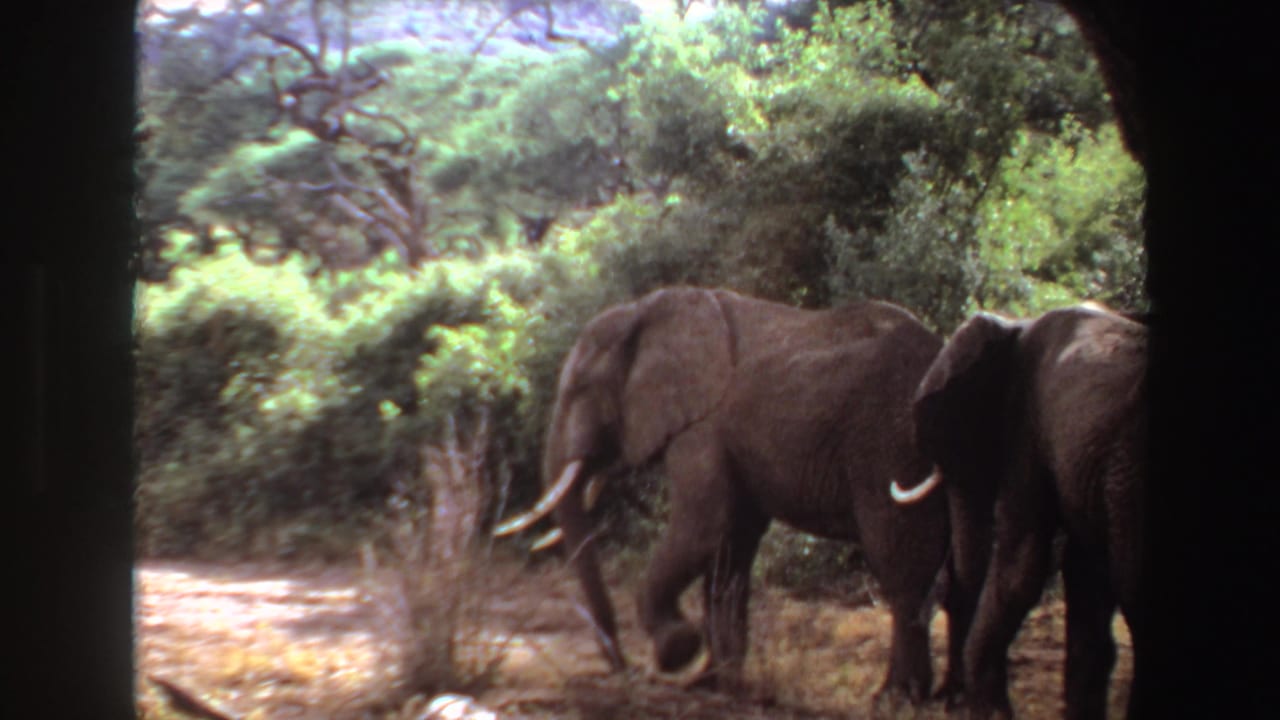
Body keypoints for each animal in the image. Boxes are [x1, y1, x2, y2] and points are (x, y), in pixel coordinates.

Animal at [494, 285, 969, 702]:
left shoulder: (703, 428)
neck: (643, 310)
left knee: (901, 566)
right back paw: (949, 697)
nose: (622, 665)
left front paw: (678, 648)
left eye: (581, 390)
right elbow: (730, 547)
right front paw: (714, 683)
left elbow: (703, 529)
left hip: (895, 444)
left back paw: (896, 698)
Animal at [890, 303, 1147, 719]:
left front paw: (990, 712)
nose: (949, 700)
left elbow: (1022, 561)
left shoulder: (1025, 425)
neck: (1015, 325)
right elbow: (1082, 571)